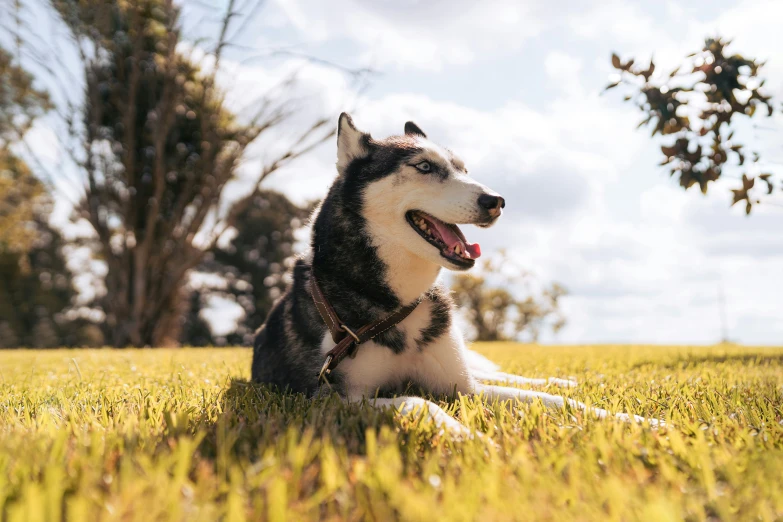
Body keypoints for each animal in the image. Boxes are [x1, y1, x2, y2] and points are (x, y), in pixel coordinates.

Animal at [253, 115, 656, 434]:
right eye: (424, 167)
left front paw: (637, 421)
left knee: (503, 374)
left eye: (464, 169)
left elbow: (551, 401)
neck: (400, 301)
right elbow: (418, 401)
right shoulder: (333, 399)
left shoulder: (465, 388)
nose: (496, 201)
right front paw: (472, 438)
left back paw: (564, 380)